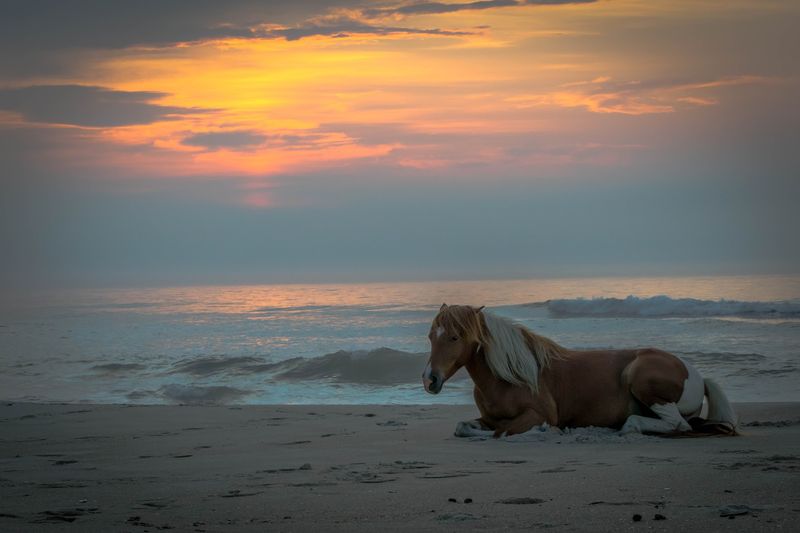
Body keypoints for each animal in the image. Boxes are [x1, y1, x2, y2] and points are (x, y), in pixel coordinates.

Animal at [422, 304, 738, 438]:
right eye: (430, 336)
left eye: (455, 337)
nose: (429, 379)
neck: (508, 377)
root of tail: (696, 375)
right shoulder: (487, 419)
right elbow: (464, 427)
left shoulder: (539, 414)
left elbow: (503, 432)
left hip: (640, 377)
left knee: (677, 425)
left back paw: (628, 427)